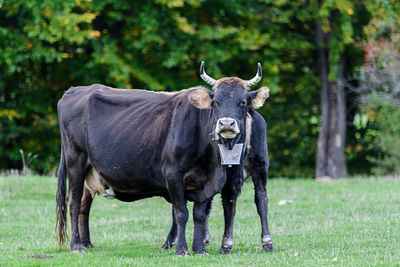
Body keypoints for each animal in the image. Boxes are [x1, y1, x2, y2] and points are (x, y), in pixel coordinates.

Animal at [55, 61, 268, 256]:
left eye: (243, 102)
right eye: (216, 102)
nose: (226, 124)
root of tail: (75, 90)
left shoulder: (205, 183)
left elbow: (199, 215)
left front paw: (199, 249)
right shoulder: (173, 173)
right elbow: (181, 213)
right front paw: (182, 249)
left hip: (89, 171)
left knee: (84, 204)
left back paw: (87, 243)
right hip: (75, 161)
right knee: (74, 201)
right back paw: (76, 245)